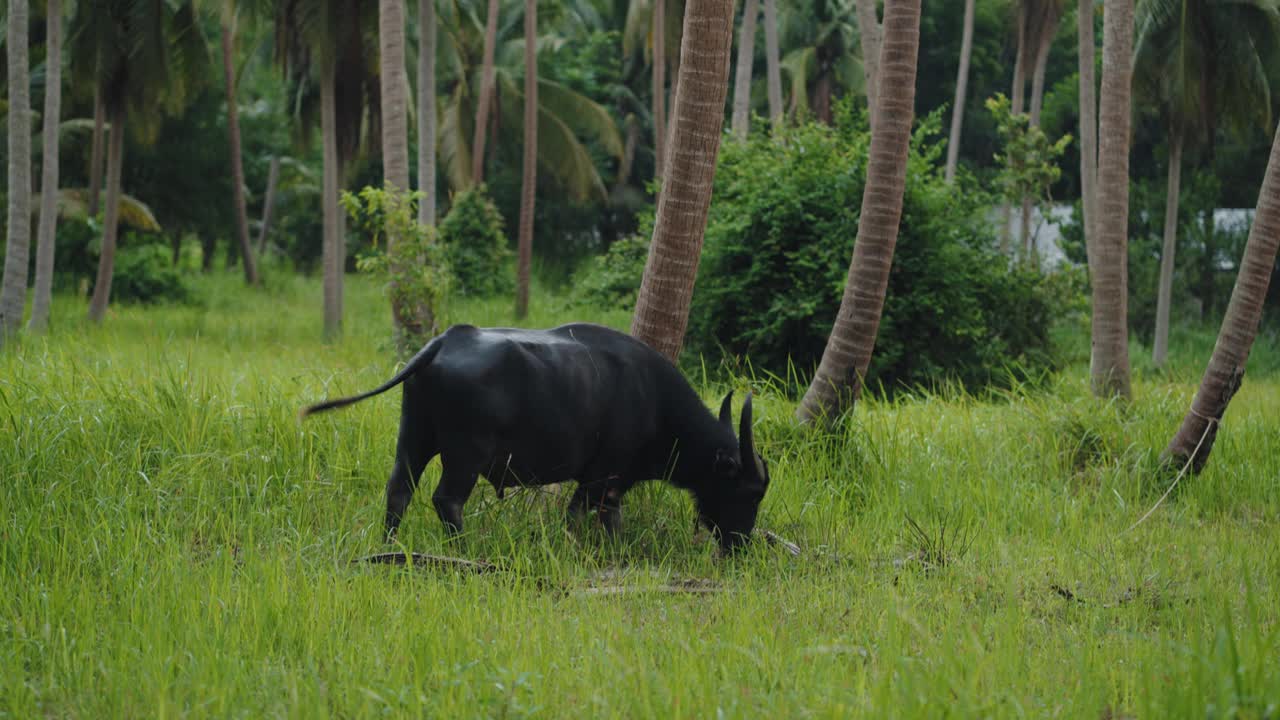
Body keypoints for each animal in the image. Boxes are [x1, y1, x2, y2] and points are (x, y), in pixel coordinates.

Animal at [302, 319, 768, 548]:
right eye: (748, 491)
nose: (740, 545)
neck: (653, 399)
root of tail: (444, 342)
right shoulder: (604, 477)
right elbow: (587, 516)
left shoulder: (603, 482)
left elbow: (603, 518)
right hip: (465, 453)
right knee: (446, 499)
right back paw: (464, 550)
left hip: (413, 438)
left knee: (398, 489)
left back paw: (389, 545)